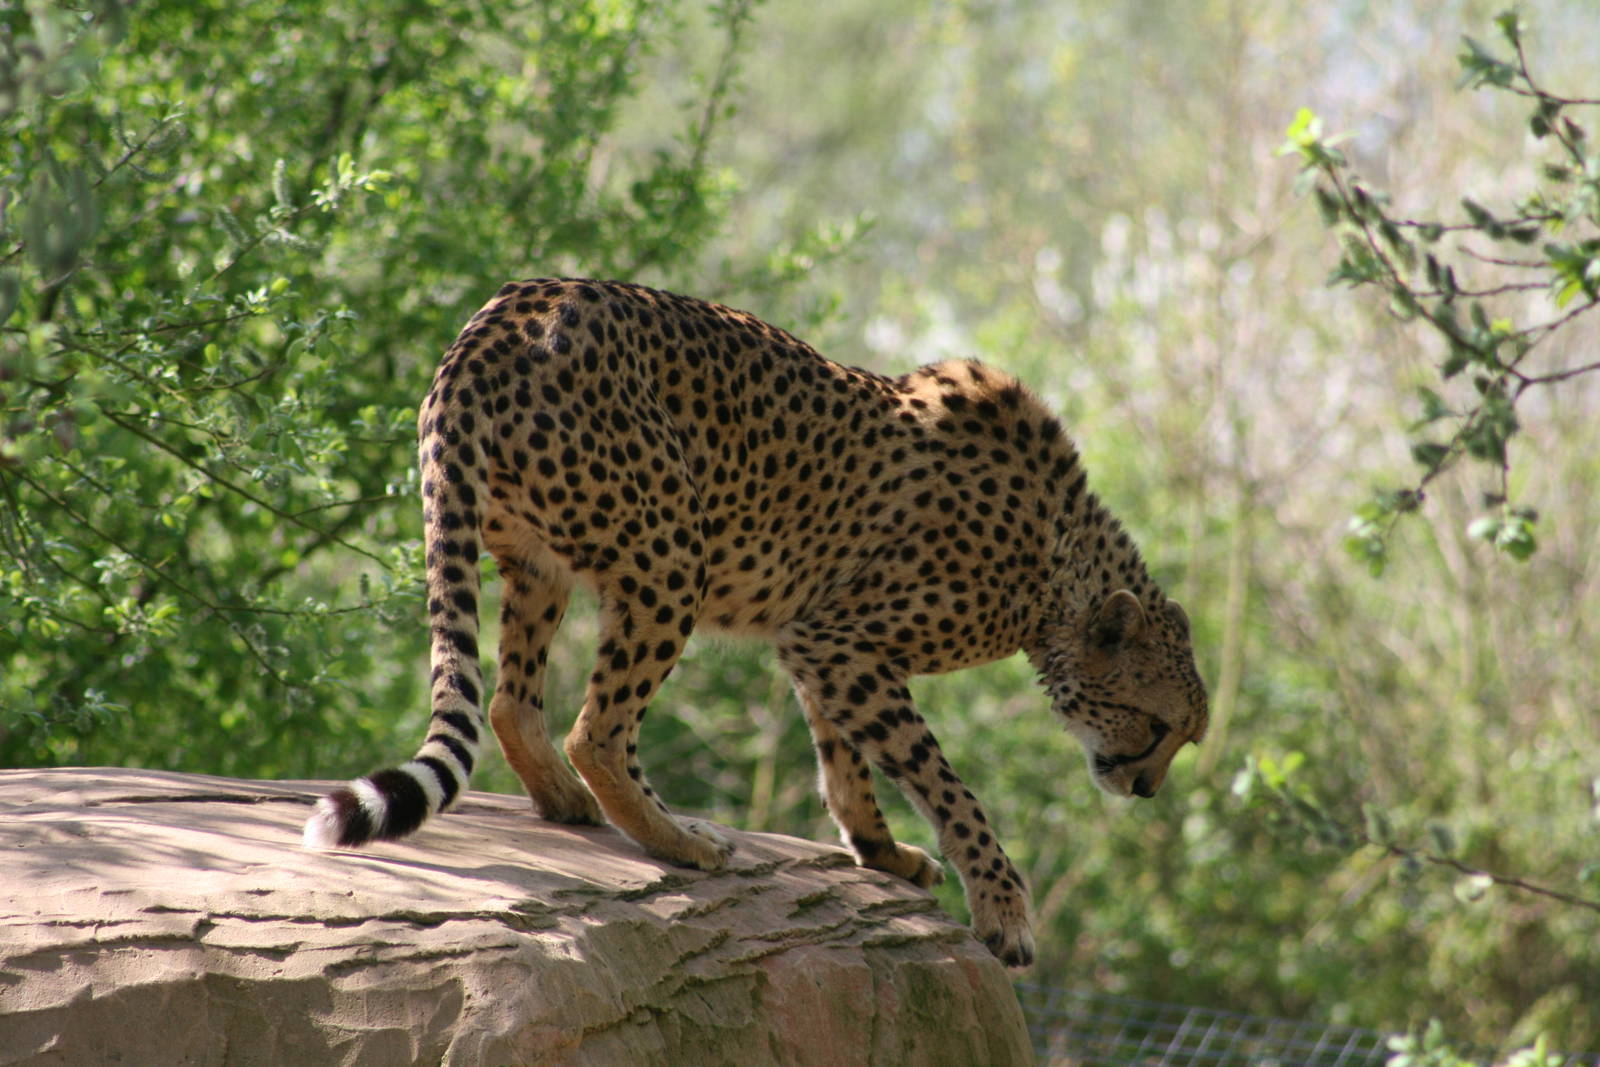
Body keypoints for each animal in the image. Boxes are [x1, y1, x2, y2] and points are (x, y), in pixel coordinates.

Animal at [304, 277, 1209, 967]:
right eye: (1158, 723)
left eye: (1184, 736)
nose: (1146, 787)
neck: (1059, 565)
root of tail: (506, 313)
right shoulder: (840, 638)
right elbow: (945, 783)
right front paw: (1004, 908)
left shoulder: (820, 640)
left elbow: (848, 763)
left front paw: (882, 851)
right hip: (671, 552)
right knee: (597, 729)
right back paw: (681, 839)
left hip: (538, 560)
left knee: (511, 701)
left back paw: (568, 801)